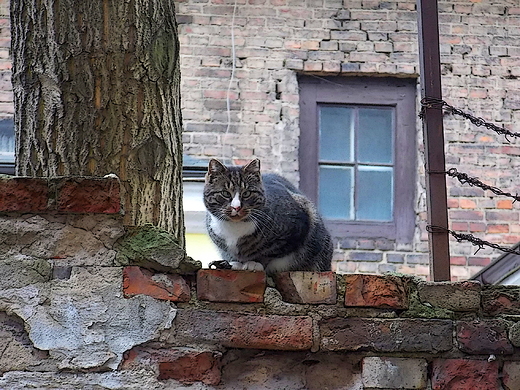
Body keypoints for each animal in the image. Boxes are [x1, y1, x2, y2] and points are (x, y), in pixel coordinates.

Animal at [203, 158, 334, 274]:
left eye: (247, 193)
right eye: (225, 193)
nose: (236, 207)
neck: (235, 228)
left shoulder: (296, 227)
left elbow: (269, 253)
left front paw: (255, 263)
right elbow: (231, 254)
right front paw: (235, 263)